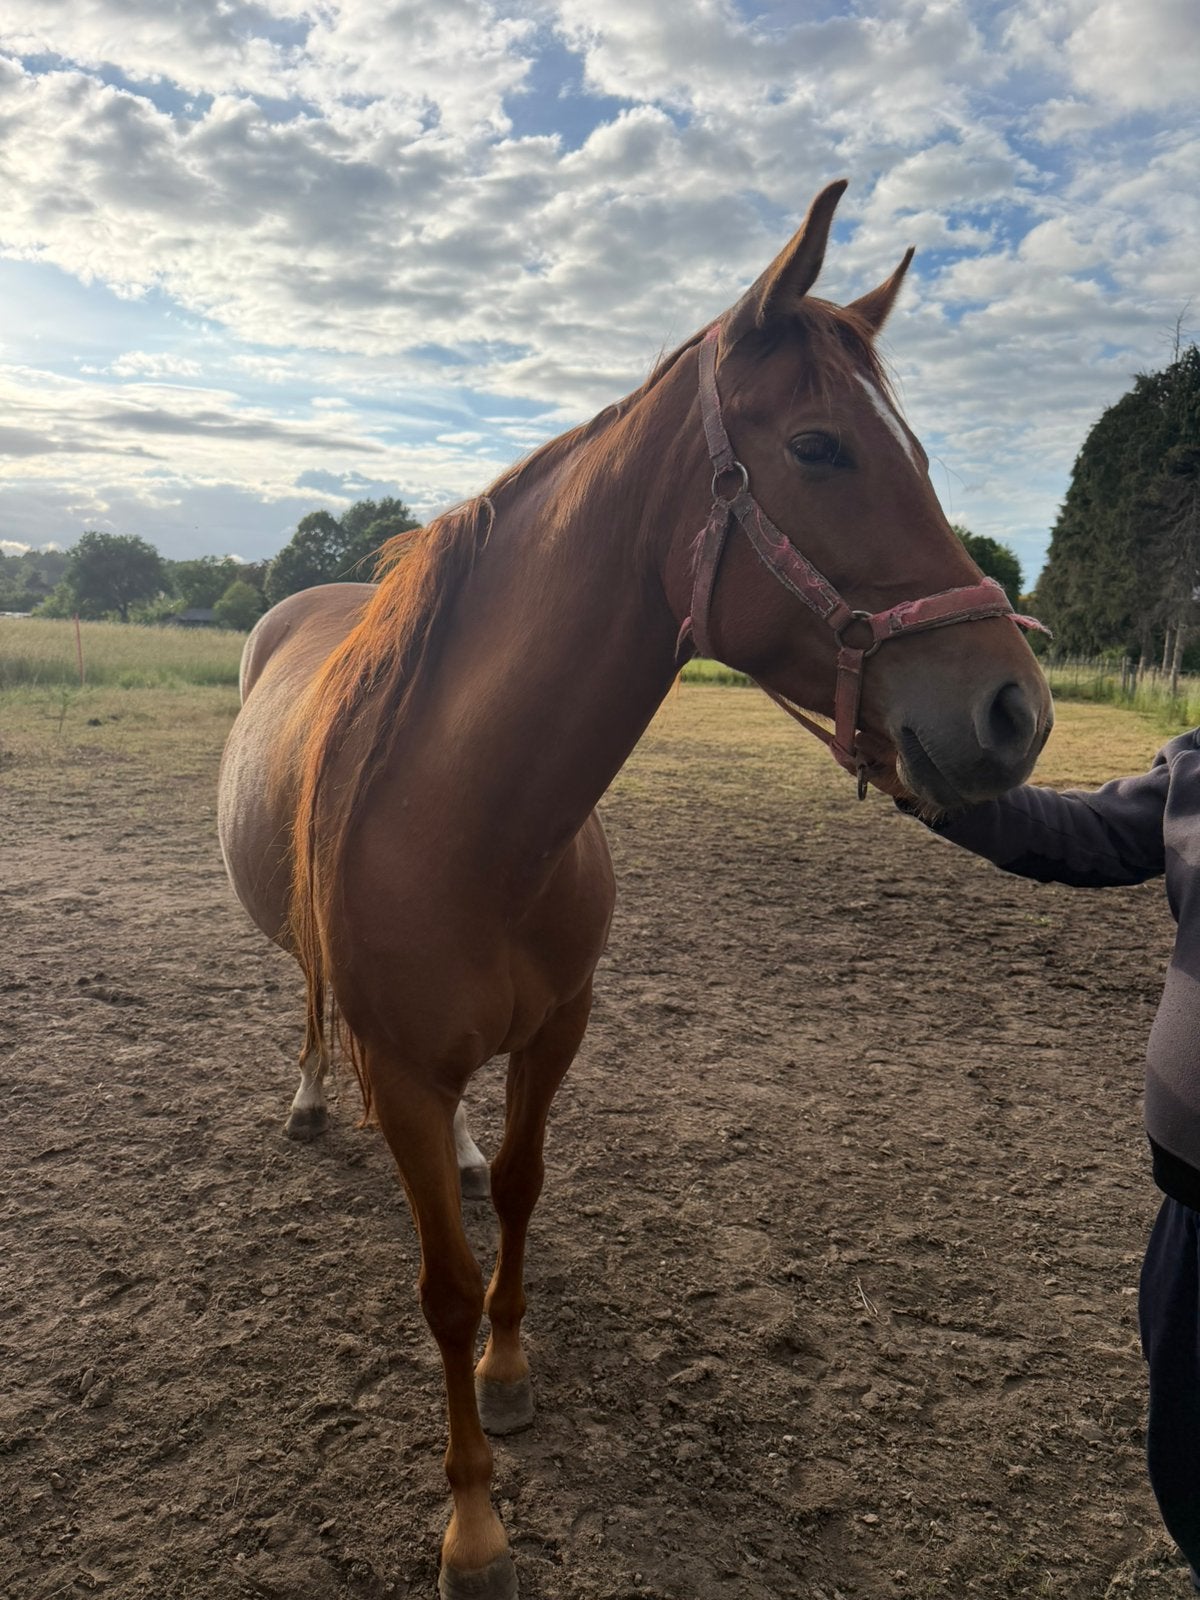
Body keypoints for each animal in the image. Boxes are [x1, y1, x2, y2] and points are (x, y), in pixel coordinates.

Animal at [217, 180, 1053, 1599]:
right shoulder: (406, 1070)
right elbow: (444, 1282)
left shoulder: (561, 1027)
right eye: (821, 447)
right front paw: (475, 1528)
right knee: (310, 1001)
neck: (476, 825)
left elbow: (522, 1190)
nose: (1015, 711)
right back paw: (307, 1099)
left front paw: (509, 1368)